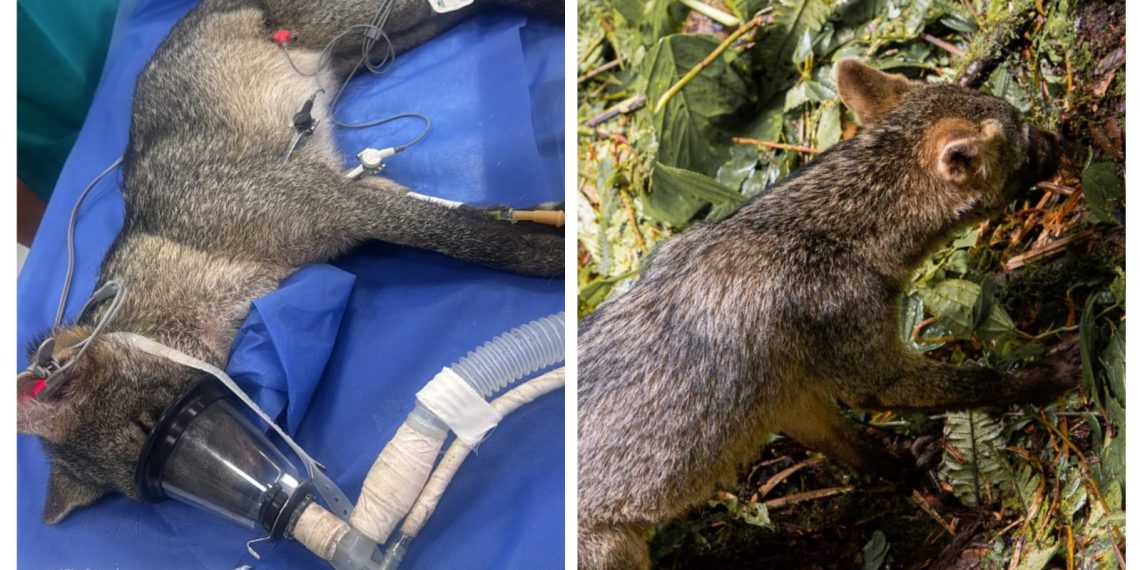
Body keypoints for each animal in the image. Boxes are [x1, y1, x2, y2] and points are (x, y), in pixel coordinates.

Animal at [16, 0, 563, 524]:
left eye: (151, 421)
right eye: (153, 482)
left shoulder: (338, 202)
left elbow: (464, 237)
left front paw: (549, 254)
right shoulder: (359, 198)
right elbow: (461, 217)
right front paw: (535, 221)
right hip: (378, 41)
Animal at [576, 59, 1077, 568]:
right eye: (1026, 141)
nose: (1061, 135)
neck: (816, 228)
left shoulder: (790, 399)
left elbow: (856, 447)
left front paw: (899, 468)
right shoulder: (870, 372)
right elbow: (981, 381)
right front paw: (1043, 377)